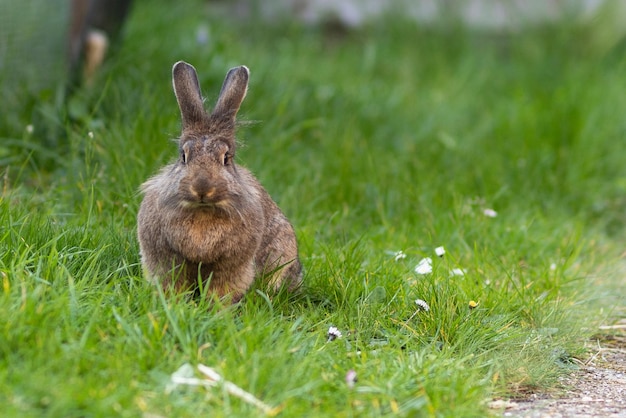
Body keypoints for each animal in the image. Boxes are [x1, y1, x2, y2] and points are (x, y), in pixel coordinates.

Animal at [137, 60, 302, 302]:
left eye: (226, 158)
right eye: (184, 156)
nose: (202, 187)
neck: (203, 211)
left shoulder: (233, 265)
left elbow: (222, 288)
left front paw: (216, 307)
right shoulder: (166, 259)